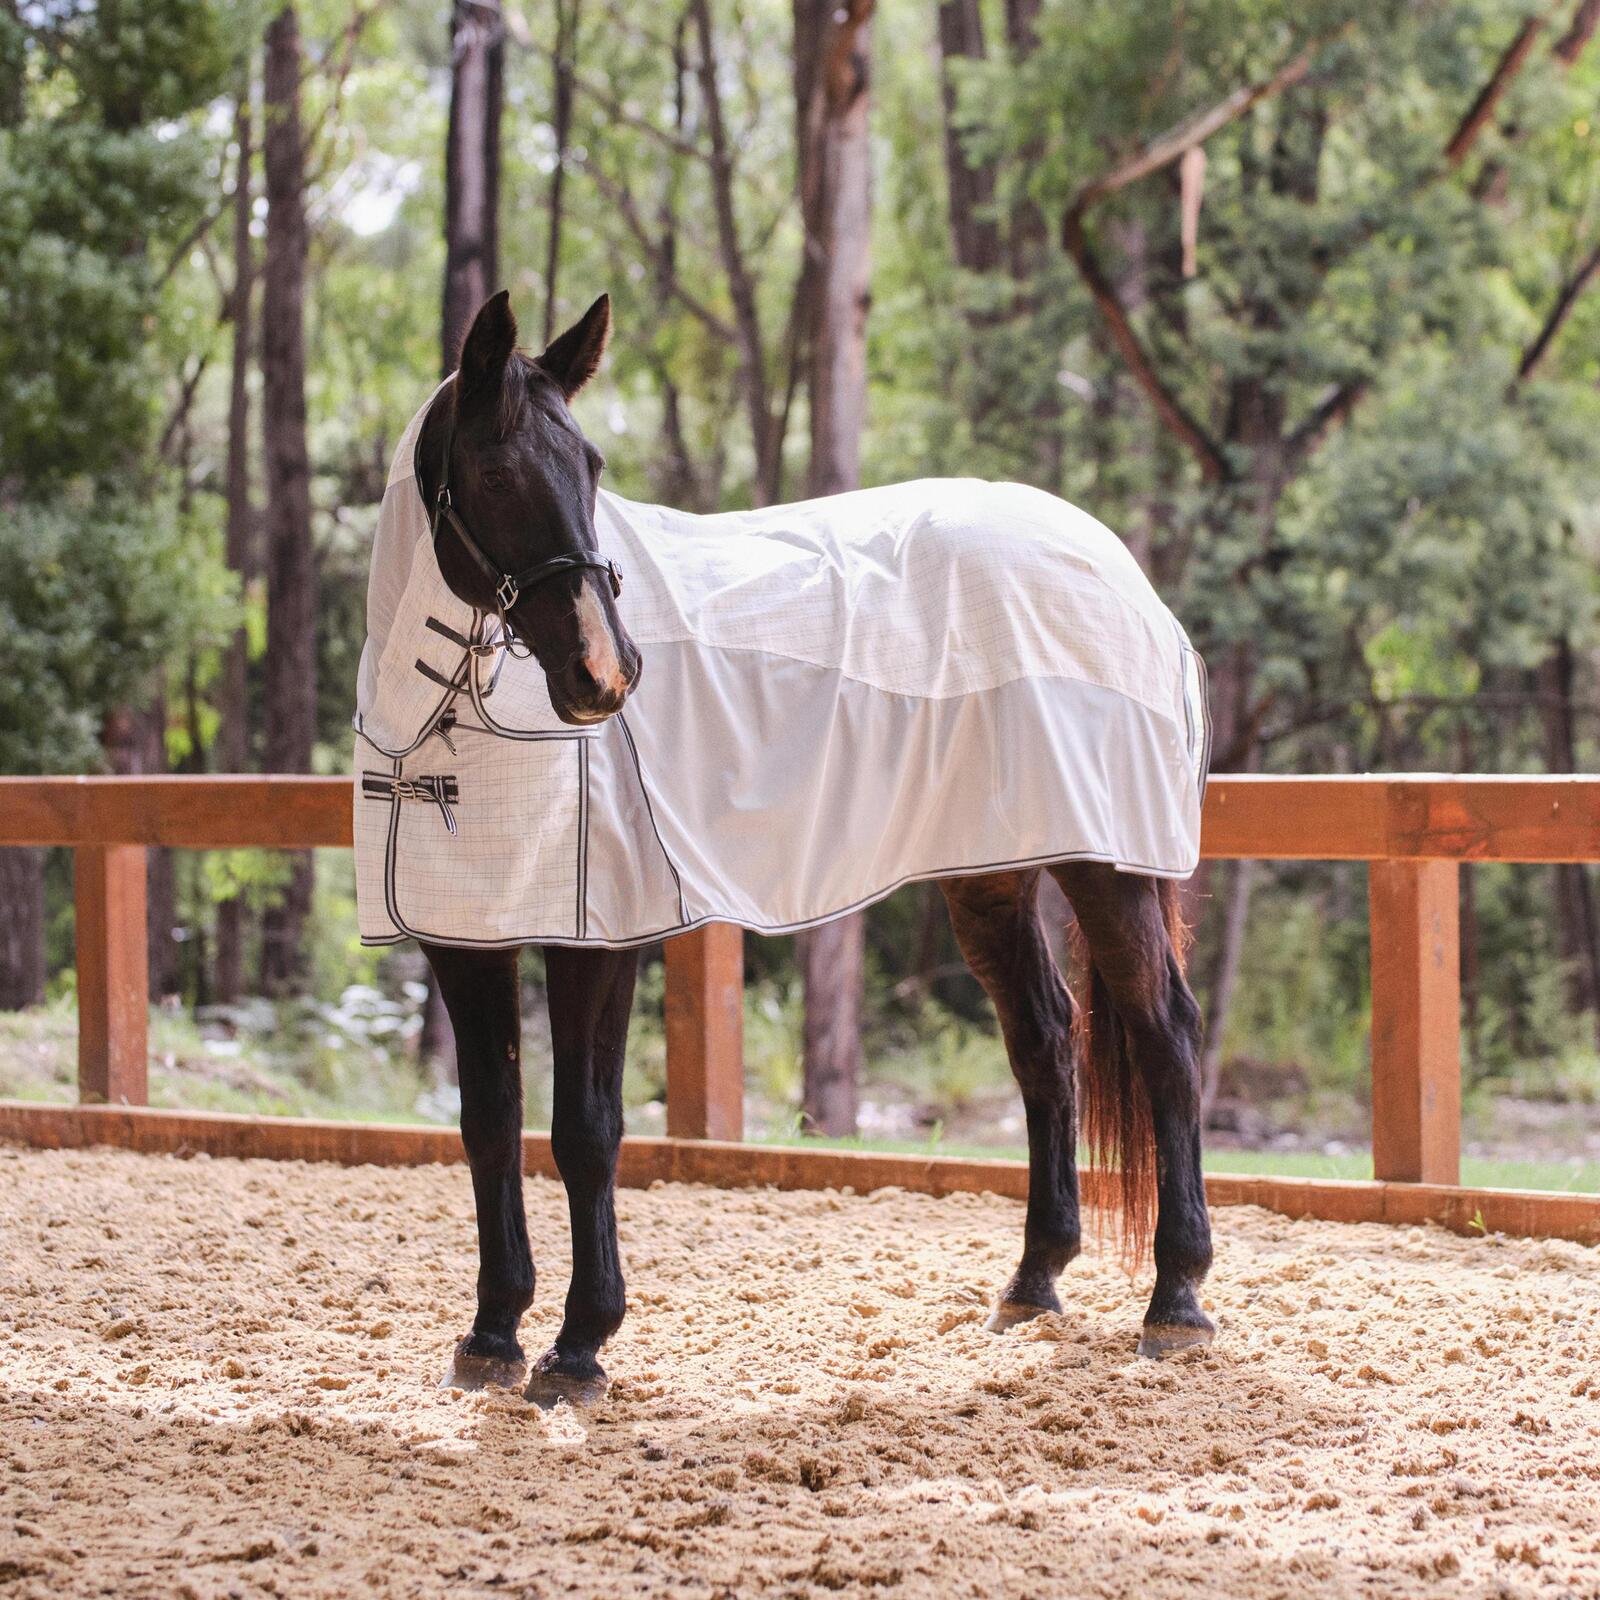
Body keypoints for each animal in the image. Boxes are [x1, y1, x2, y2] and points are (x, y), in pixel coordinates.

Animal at [359, 289, 1213, 1405]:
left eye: (590, 467)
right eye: (497, 475)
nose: (605, 674)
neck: (448, 724)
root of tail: (1115, 567)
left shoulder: (601, 939)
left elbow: (585, 1130)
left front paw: (579, 1345)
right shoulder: (466, 937)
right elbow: (490, 1124)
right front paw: (493, 1334)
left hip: (1107, 869)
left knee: (1166, 1037)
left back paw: (1177, 1301)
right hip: (994, 873)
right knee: (1044, 1038)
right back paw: (1033, 1281)